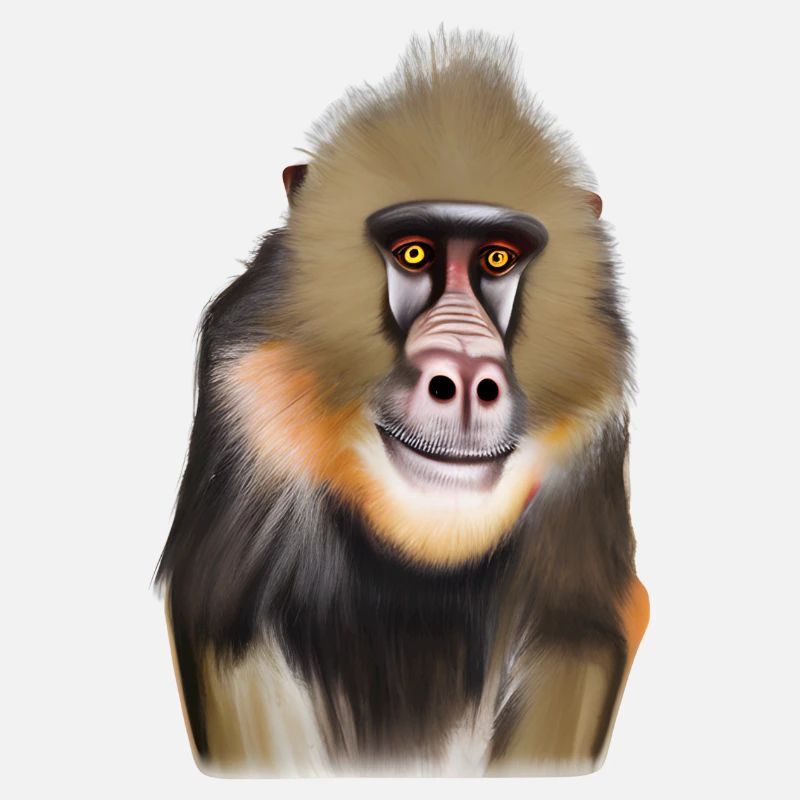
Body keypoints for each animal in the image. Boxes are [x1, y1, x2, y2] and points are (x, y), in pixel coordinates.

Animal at [155, 29, 649, 777]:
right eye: (414, 253)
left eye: (498, 259)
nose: (466, 378)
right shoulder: (248, 401)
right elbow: (232, 631)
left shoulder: (589, 444)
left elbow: (573, 638)